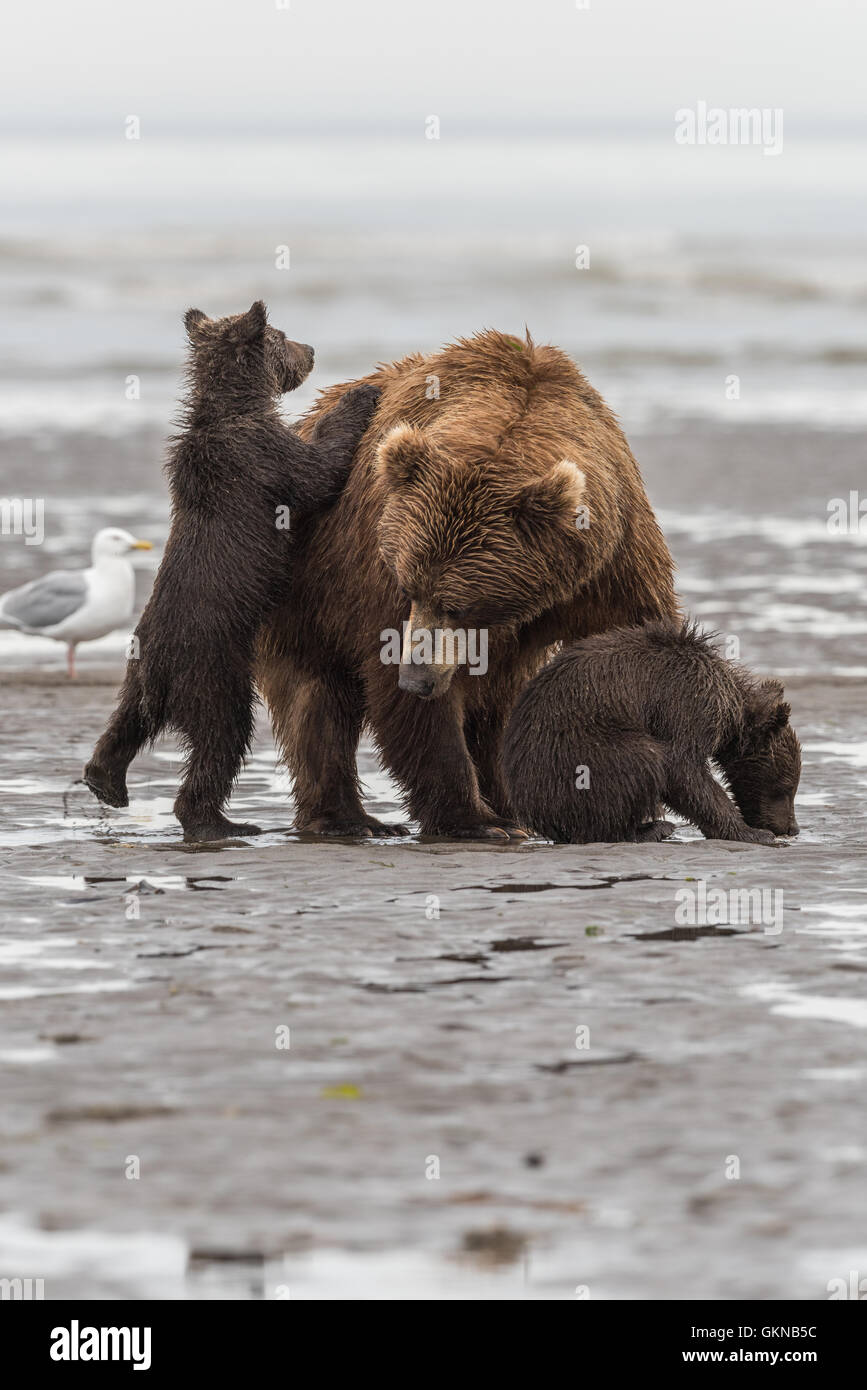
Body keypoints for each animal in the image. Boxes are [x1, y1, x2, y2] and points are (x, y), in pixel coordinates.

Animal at [84, 301, 380, 841]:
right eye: (283, 335)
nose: (312, 349)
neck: (232, 409)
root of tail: (161, 676)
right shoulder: (263, 457)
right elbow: (318, 471)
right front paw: (359, 395)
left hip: (139, 664)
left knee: (125, 721)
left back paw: (105, 780)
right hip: (214, 669)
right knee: (223, 736)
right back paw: (220, 822)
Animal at [255, 329, 679, 840]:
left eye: (457, 604)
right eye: (410, 587)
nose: (416, 678)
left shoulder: (611, 557)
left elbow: (628, 643)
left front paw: (636, 815)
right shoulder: (378, 563)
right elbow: (410, 703)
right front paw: (474, 820)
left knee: (497, 707)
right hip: (305, 590)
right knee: (316, 700)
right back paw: (350, 818)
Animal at [501, 619, 801, 844]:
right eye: (785, 788)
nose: (791, 828)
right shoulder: (686, 702)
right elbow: (682, 768)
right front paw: (752, 833)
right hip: (578, 750)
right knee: (642, 759)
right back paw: (649, 829)